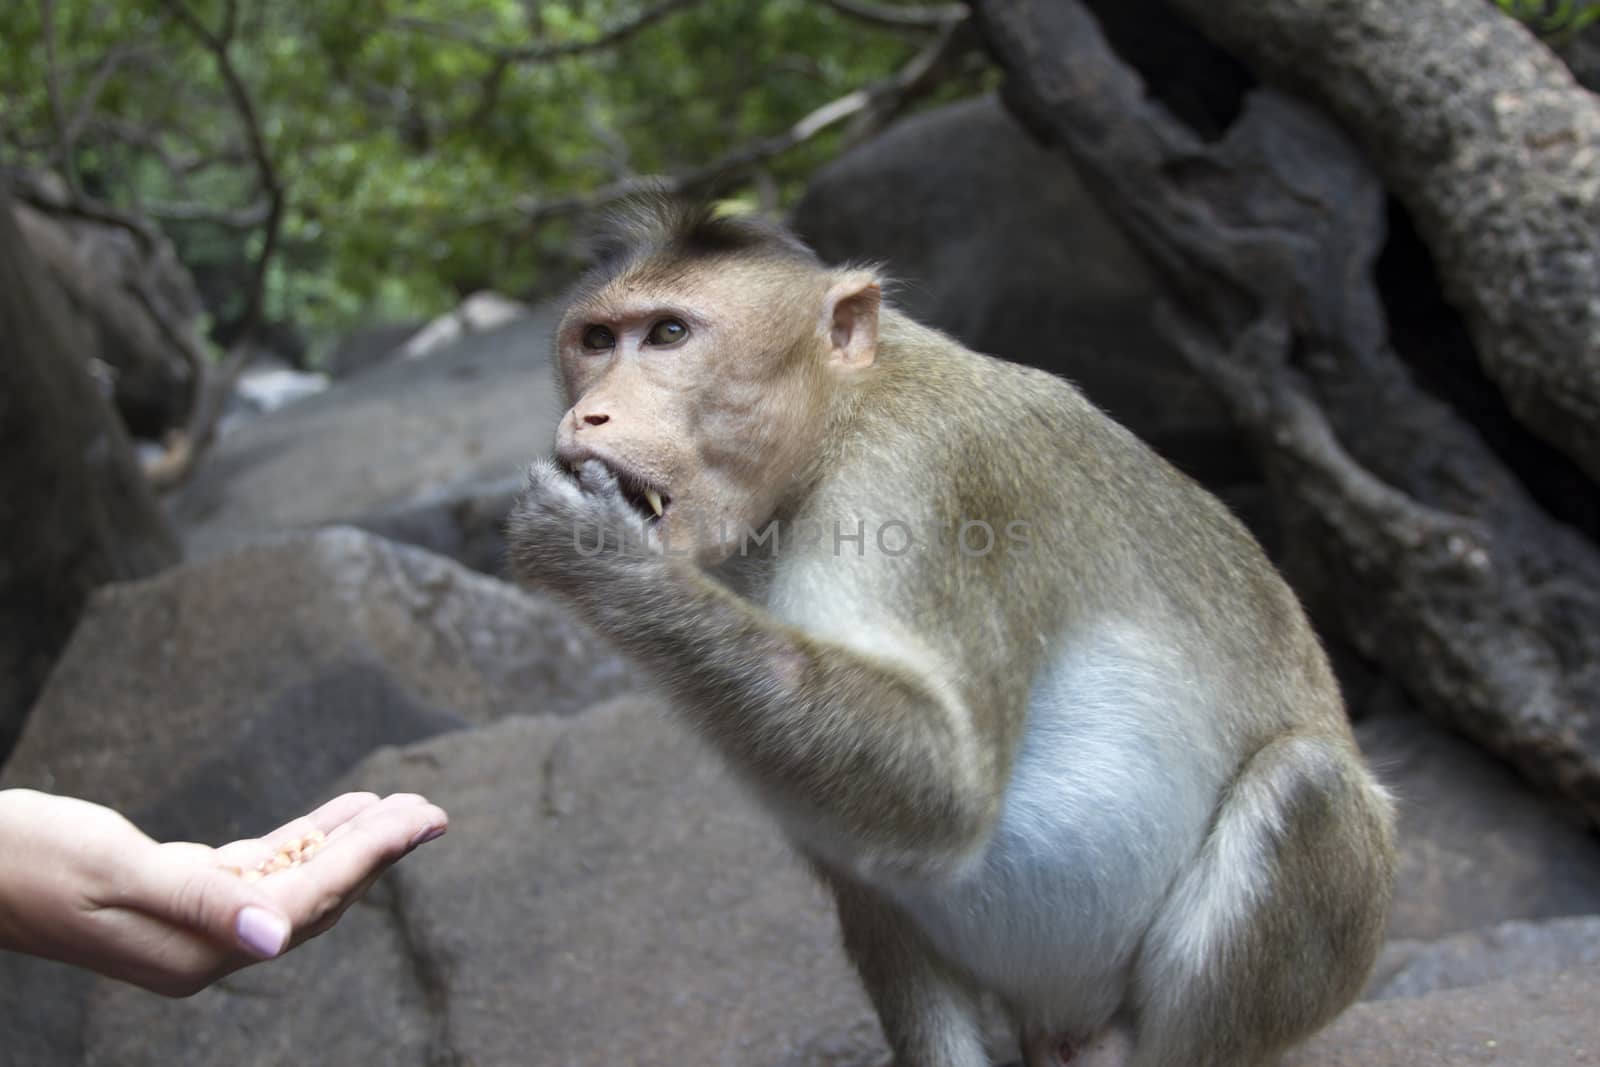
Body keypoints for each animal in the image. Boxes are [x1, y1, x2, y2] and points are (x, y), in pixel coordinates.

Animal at [505, 198, 1395, 1067]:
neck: (835, 422)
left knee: (1308, 784)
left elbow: (944, 783)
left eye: (667, 334)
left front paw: (596, 549)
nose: (588, 411)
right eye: (595, 341)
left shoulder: (930, 478)